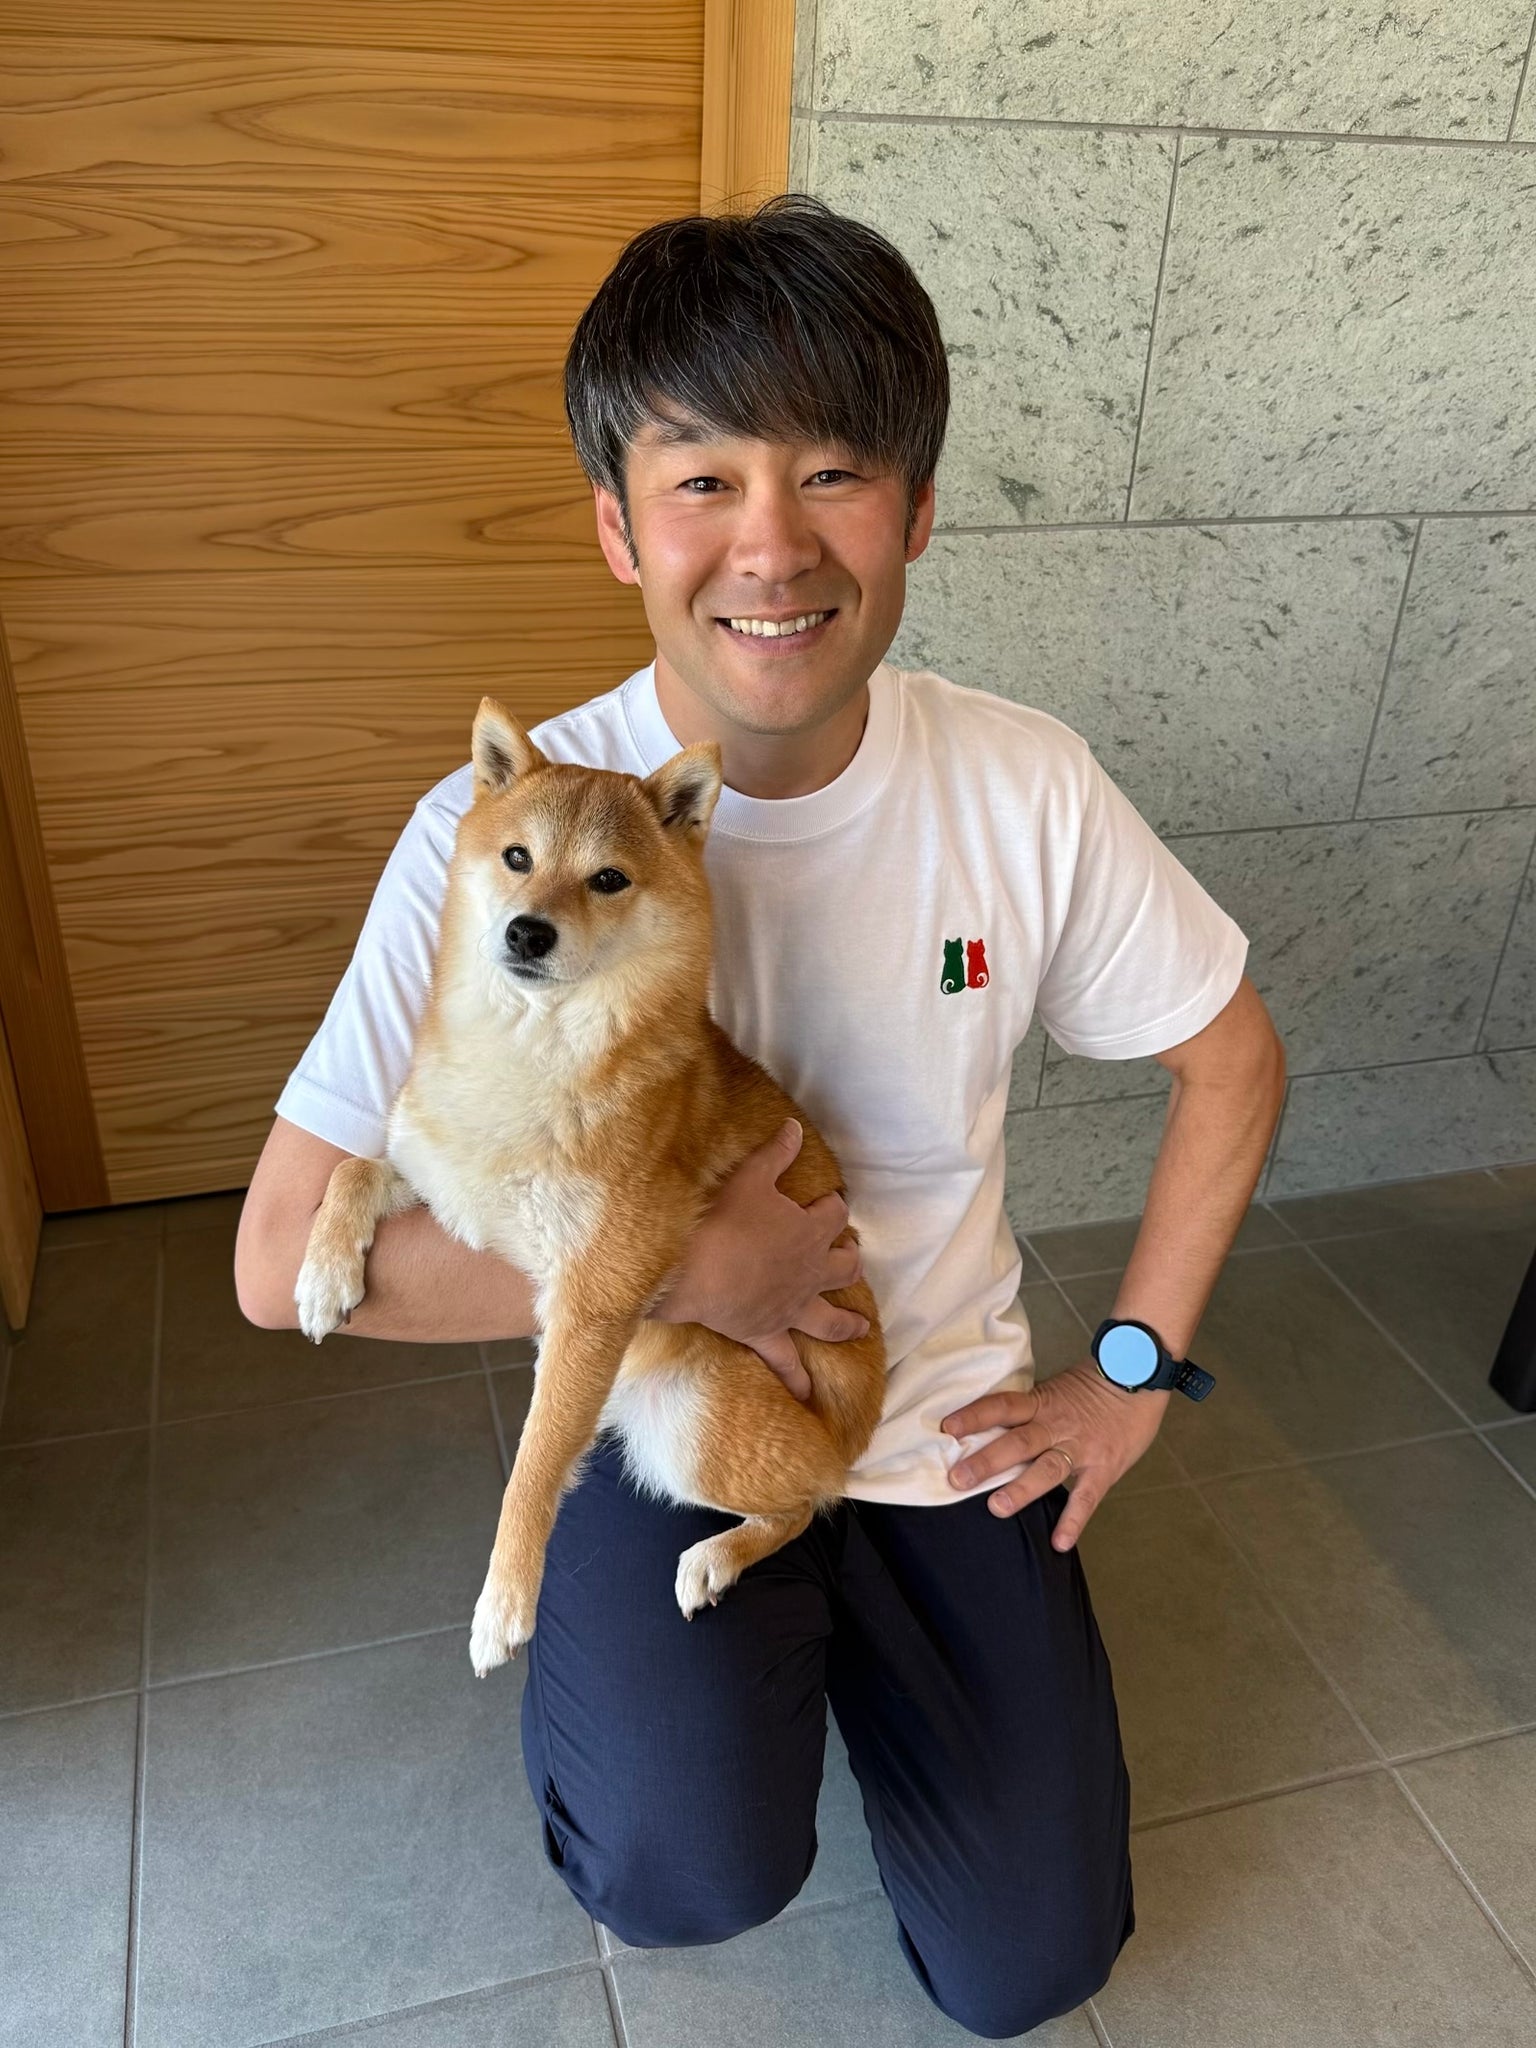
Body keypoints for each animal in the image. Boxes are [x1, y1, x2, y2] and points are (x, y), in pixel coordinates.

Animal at [295, 696, 887, 1675]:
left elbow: (534, 1466)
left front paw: (504, 1600)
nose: (527, 930)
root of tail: (858, 1423)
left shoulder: (593, 1299)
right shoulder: (444, 1179)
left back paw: (718, 1556)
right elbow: (354, 1168)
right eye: (517, 858)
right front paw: (323, 1275)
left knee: (812, 1500)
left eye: (608, 879)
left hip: (697, 1415)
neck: (527, 1055)